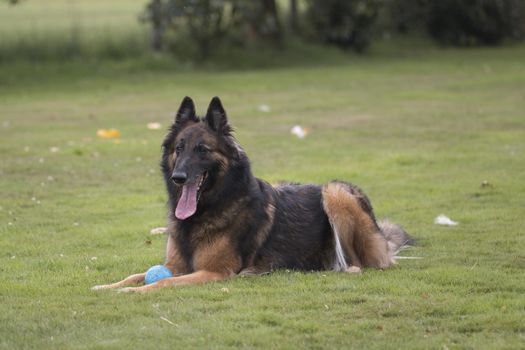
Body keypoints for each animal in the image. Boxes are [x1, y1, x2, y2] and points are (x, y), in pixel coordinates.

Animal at [92, 95, 412, 292]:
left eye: (202, 149)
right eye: (179, 149)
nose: (178, 177)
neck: (209, 208)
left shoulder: (214, 272)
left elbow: (160, 282)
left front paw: (133, 293)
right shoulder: (174, 265)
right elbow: (137, 274)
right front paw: (106, 286)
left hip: (336, 192)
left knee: (362, 261)